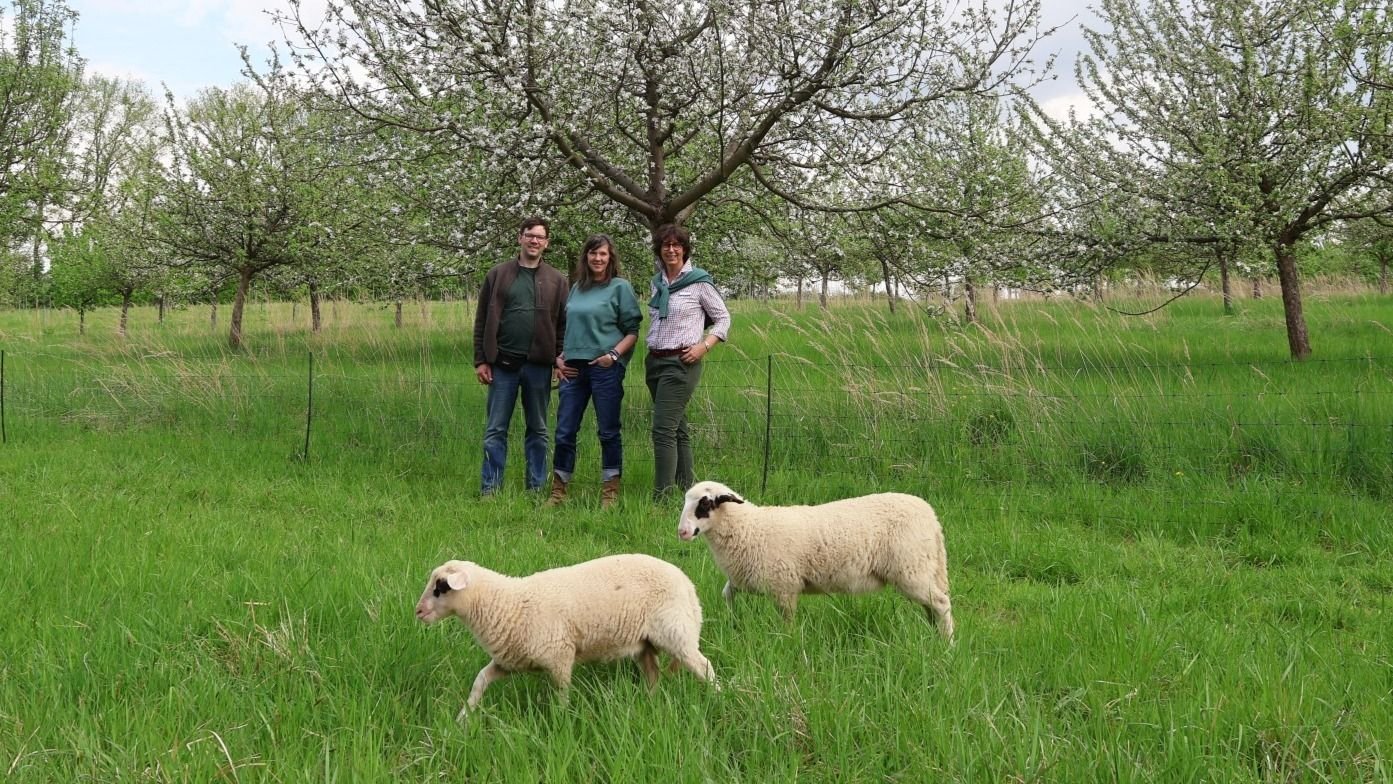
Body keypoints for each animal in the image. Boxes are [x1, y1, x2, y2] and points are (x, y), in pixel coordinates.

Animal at [415, 553, 717, 719]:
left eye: (440, 588)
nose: (418, 611)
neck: (508, 604)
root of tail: (688, 585)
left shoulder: (560, 655)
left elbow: (561, 695)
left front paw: (560, 723)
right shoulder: (510, 660)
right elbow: (480, 680)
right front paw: (463, 717)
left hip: (676, 632)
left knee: (704, 666)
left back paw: (718, 697)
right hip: (645, 643)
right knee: (653, 674)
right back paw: (649, 702)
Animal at [676, 481, 955, 639]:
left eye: (704, 504)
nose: (682, 532)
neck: (749, 527)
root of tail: (931, 517)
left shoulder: (784, 586)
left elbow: (787, 621)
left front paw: (786, 641)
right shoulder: (744, 578)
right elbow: (727, 594)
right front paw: (733, 620)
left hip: (910, 569)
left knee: (941, 603)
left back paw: (947, 644)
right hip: (919, 569)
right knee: (931, 607)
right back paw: (934, 637)